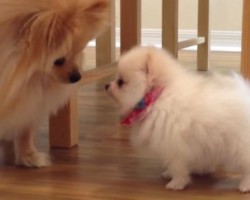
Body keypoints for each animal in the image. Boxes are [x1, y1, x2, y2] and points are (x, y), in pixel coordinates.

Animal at [105, 46, 250, 193]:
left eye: (121, 82)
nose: (106, 85)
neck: (157, 97)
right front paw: (169, 174)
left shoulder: (174, 145)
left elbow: (176, 166)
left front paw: (176, 183)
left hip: (240, 145)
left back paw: (245, 185)